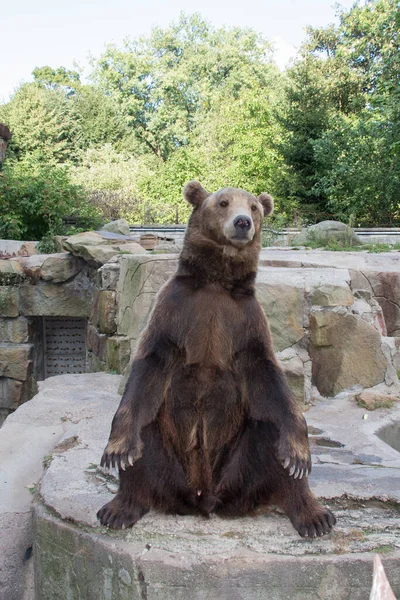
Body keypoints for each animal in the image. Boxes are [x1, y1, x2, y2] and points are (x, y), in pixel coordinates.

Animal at [98, 180, 336, 536]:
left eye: (254, 206)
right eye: (223, 202)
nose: (243, 222)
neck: (216, 282)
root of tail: (204, 498)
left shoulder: (245, 322)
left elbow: (270, 378)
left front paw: (298, 452)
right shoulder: (176, 311)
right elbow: (149, 365)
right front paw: (117, 448)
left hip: (240, 471)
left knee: (270, 435)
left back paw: (314, 514)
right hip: (170, 467)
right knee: (146, 440)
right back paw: (119, 507)